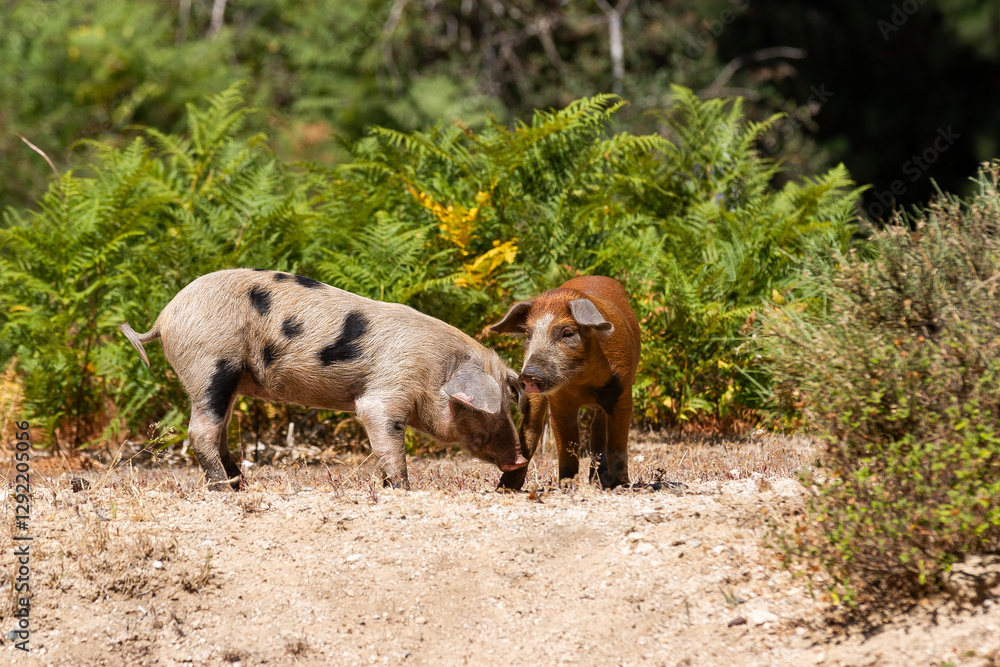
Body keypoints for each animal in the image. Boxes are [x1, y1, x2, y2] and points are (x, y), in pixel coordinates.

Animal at [119, 268, 527, 490]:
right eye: (488, 410)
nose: (520, 459)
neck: (436, 371)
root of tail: (165, 317)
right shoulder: (385, 393)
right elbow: (388, 442)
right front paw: (402, 489)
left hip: (222, 378)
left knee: (217, 433)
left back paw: (240, 487)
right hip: (211, 364)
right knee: (200, 432)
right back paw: (225, 490)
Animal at [490, 276, 641, 490]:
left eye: (568, 333)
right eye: (528, 335)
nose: (529, 375)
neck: (583, 384)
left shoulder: (623, 392)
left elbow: (617, 444)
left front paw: (621, 486)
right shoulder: (559, 401)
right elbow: (568, 445)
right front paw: (567, 486)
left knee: (597, 430)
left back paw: (599, 482)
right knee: (530, 430)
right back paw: (506, 488)